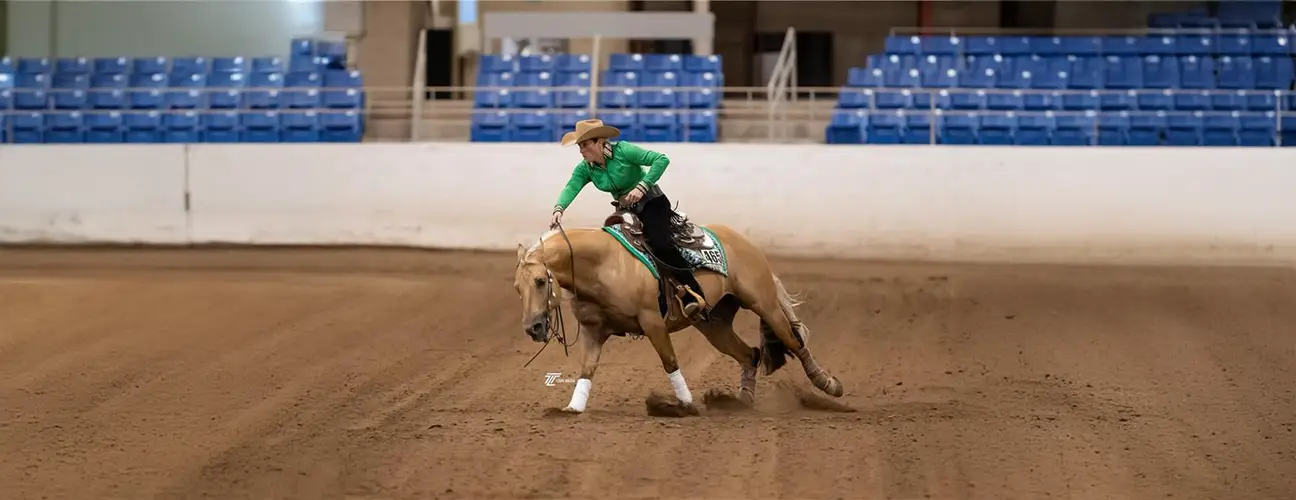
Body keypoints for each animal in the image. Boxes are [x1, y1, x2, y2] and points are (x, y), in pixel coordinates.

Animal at [512, 204, 844, 414]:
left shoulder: (652, 322)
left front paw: (684, 405)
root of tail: (742, 241)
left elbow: (670, 361)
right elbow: (587, 369)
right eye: (517, 288)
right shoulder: (594, 332)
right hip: (715, 324)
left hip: (763, 303)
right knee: (749, 354)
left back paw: (829, 385)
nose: (533, 328)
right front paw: (572, 408)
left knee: (793, 341)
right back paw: (741, 401)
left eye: (540, 281)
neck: (603, 263)